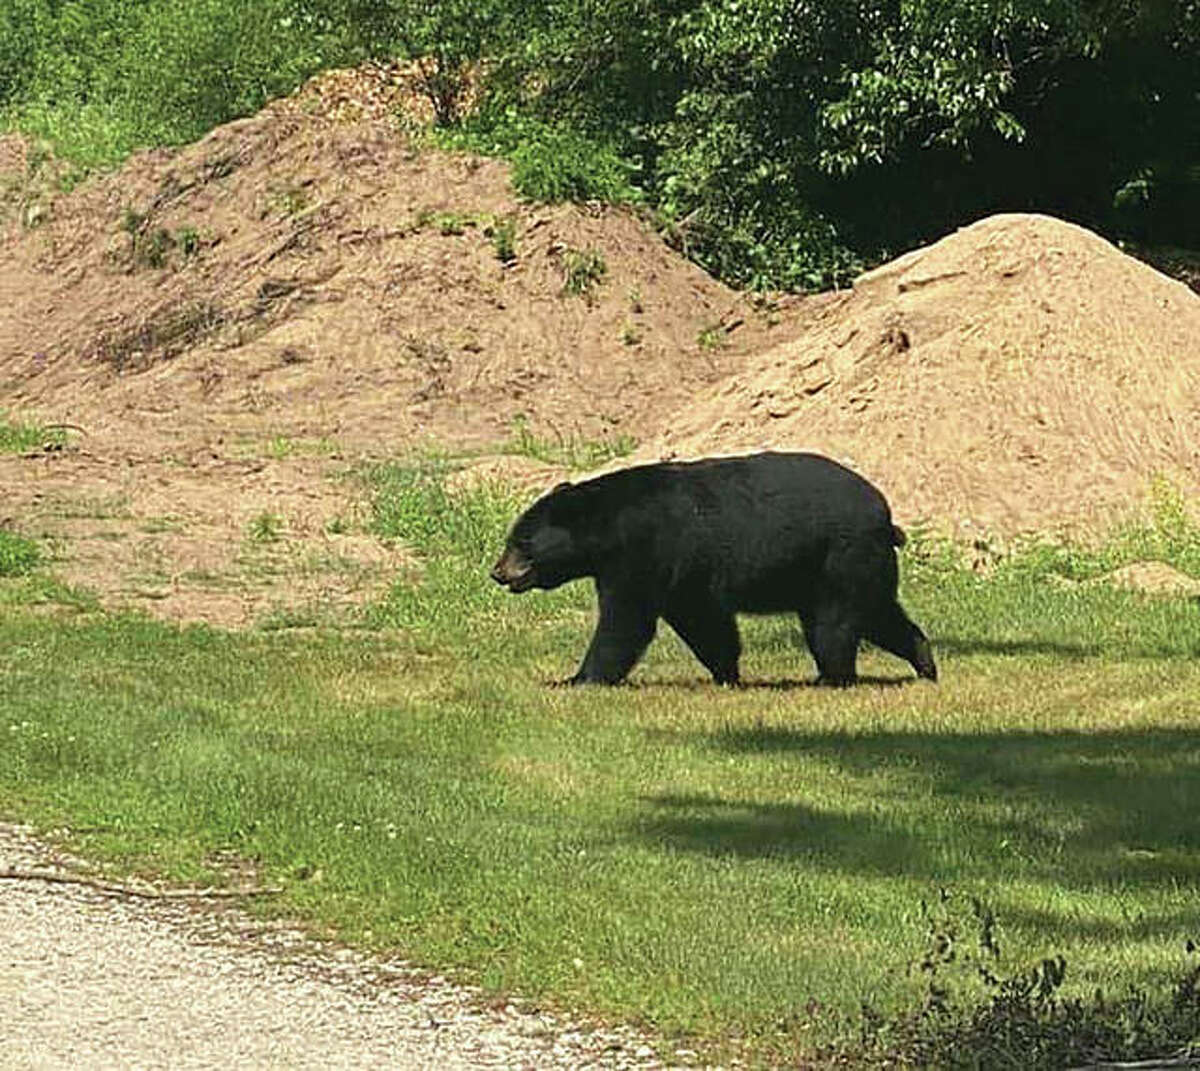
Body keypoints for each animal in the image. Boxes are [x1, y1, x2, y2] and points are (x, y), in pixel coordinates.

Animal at [489, 451, 937, 686]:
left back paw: (832, 677)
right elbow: (703, 622)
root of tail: (885, 517)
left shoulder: (644, 552)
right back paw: (925, 665)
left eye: (521, 543)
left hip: (839, 558)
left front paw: (577, 679)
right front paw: (727, 674)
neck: (608, 525)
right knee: (879, 615)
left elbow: (626, 621)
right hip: (849, 566)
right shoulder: (683, 576)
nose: (498, 572)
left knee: (836, 624)